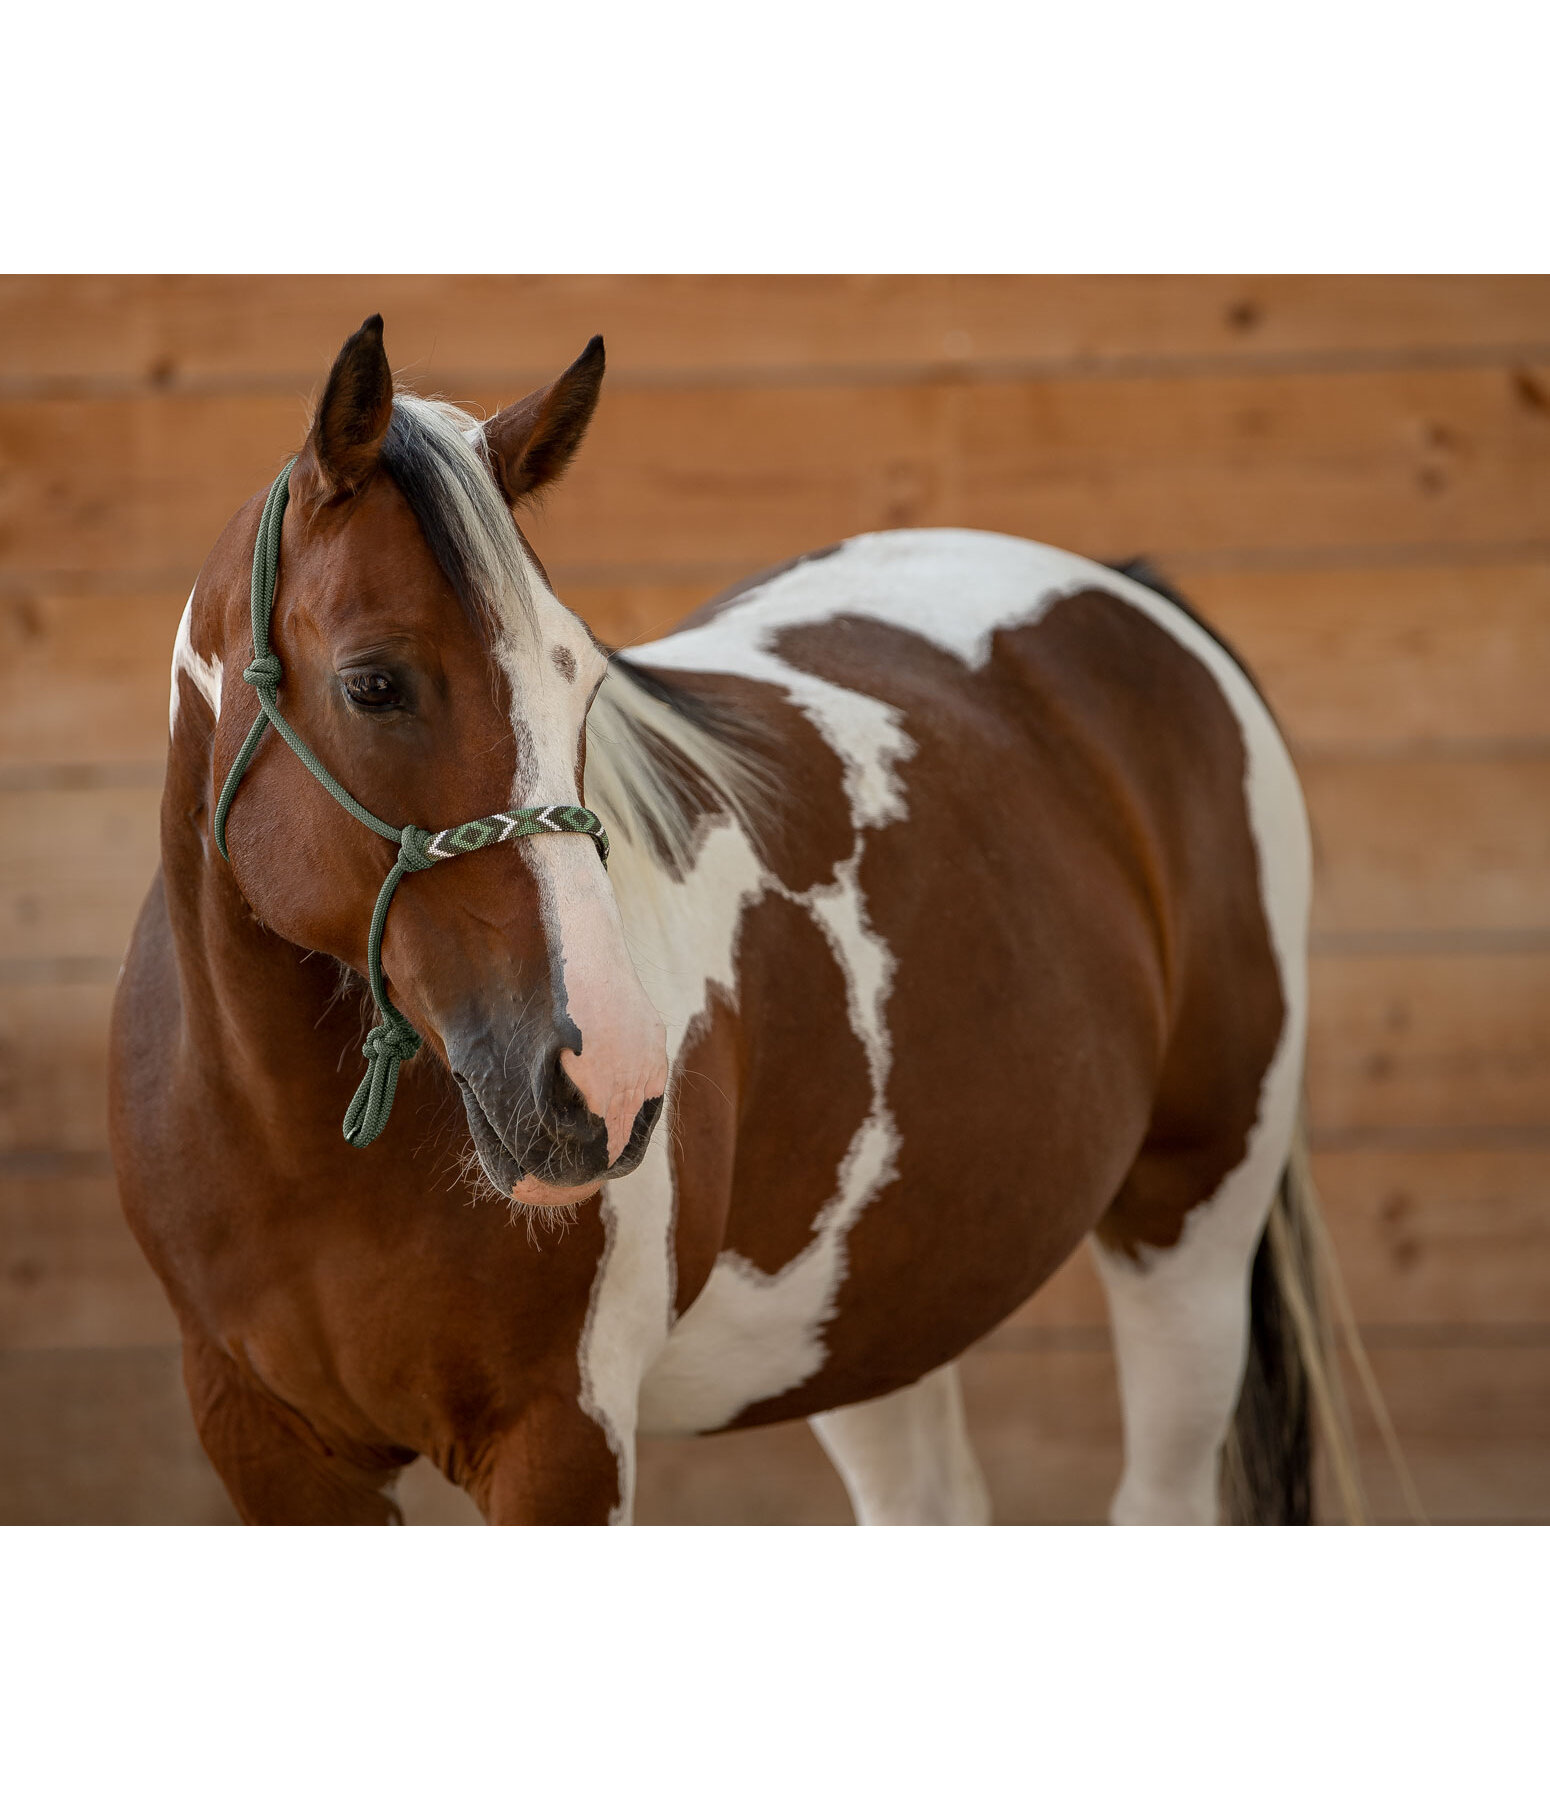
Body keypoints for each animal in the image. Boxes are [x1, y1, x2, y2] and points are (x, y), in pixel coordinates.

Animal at [114, 316, 1339, 1526]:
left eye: (586, 682)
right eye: (373, 684)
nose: (604, 1083)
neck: (294, 1153)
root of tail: (1125, 593)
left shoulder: (560, 1442)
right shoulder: (266, 1446)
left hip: (1190, 1233)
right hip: (868, 1297)